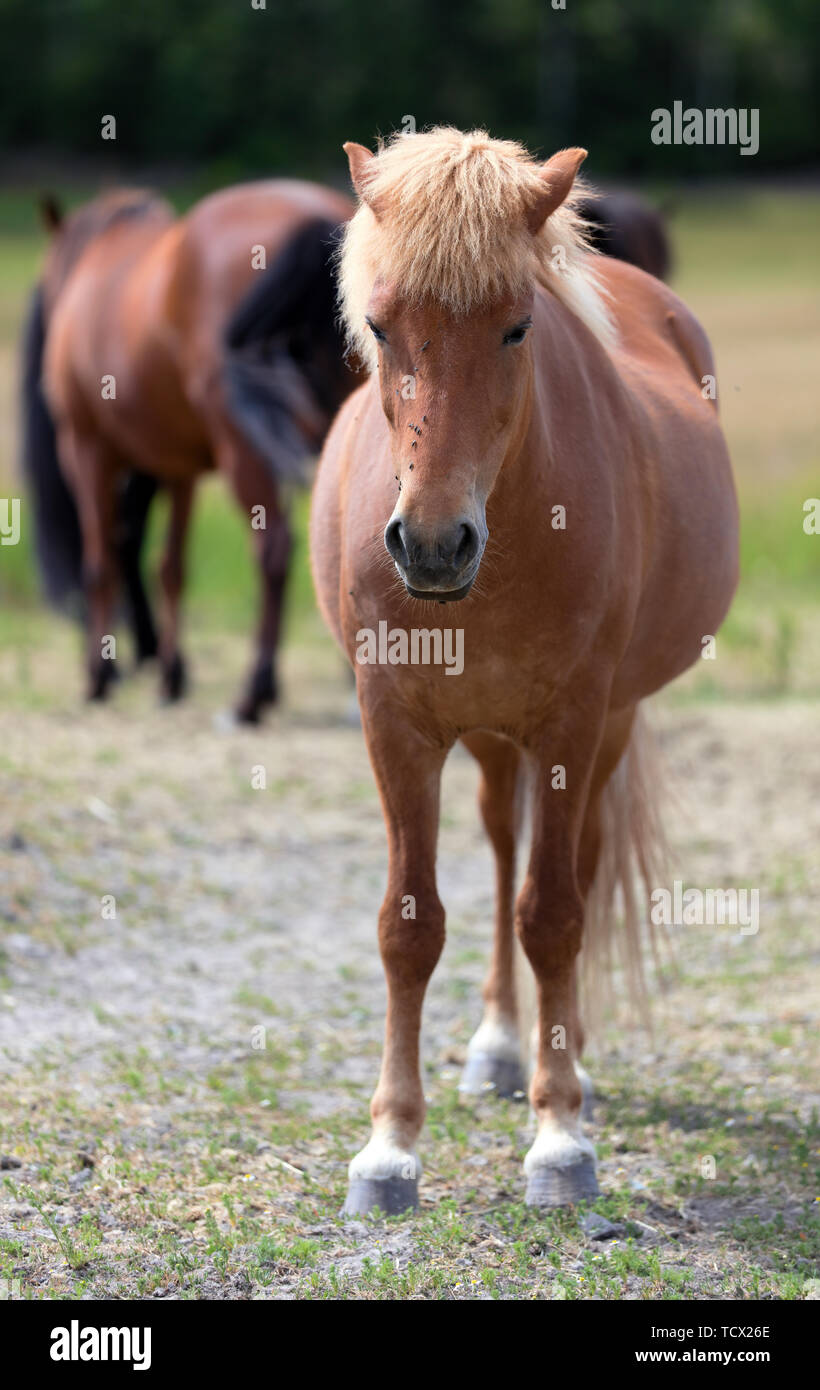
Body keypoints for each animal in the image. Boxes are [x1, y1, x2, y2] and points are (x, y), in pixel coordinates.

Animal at [30, 179, 355, 721]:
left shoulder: (87, 448)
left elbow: (100, 563)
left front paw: (99, 677)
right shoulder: (178, 466)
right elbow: (171, 567)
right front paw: (171, 674)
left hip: (242, 448)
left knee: (274, 550)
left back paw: (254, 691)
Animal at [310, 128, 738, 1214]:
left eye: (516, 328)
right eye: (380, 325)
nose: (431, 545)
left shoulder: (572, 721)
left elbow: (554, 913)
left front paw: (559, 1137)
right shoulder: (395, 726)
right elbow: (410, 925)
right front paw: (390, 1149)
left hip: (602, 724)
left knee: (566, 866)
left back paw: (562, 1055)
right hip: (492, 737)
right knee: (506, 849)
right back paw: (502, 1045)